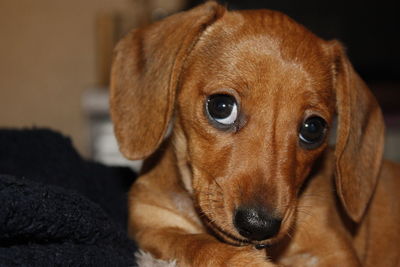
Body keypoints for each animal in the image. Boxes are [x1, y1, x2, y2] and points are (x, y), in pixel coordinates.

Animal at [109, 1, 400, 266]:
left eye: (313, 129)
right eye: (221, 106)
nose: (259, 225)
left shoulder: (332, 252)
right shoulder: (152, 223)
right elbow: (196, 244)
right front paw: (244, 260)